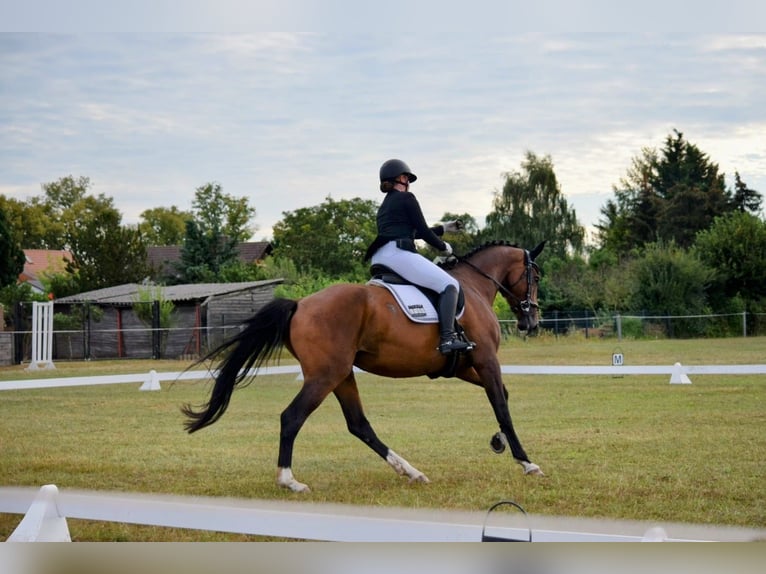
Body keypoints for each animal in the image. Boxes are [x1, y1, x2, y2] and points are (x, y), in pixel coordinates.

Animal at [182, 240, 545, 492]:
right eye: (536, 276)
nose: (531, 321)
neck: (472, 286)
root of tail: (300, 304)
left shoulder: (463, 366)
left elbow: (502, 397)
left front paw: (498, 442)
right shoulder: (486, 360)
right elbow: (501, 406)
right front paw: (526, 462)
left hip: (341, 375)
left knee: (358, 424)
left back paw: (410, 471)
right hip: (325, 376)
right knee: (292, 417)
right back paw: (290, 481)